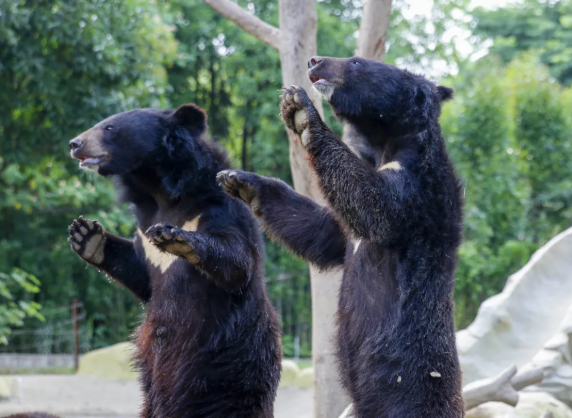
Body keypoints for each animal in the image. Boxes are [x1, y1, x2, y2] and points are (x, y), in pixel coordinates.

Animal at [67, 103, 282, 418]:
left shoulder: (219, 209)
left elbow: (237, 263)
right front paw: (87, 235)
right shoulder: (144, 231)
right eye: (102, 123)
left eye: (110, 128)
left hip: (231, 365)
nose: (75, 144)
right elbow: (140, 274)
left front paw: (175, 236)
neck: (160, 191)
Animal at [219, 56, 464, 418]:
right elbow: (323, 230)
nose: (314, 60)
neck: (386, 143)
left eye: (356, 61)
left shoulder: (419, 187)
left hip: (404, 371)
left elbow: (374, 204)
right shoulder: (343, 230)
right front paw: (241, 180)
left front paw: (303, 111)